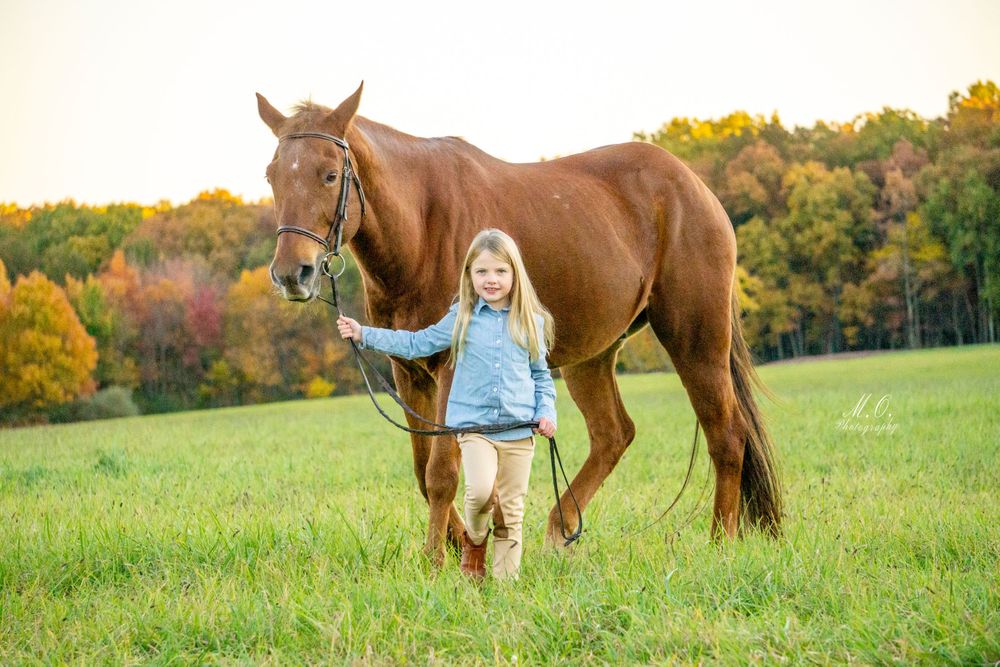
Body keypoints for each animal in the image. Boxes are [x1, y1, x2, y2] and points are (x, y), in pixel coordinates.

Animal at [258, 83, 782, 564]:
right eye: (271, 176)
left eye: (330, 175)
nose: (291, 274)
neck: (421, 227)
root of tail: (694, 185)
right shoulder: (408, 374)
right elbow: (424, 472)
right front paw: (458, 545)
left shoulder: (450, 368)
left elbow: (441, 474)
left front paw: (437, 559)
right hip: (592, 355)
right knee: (614, 434)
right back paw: (558, 530)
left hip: (695, 337)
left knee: (726, 433)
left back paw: (720, 544)